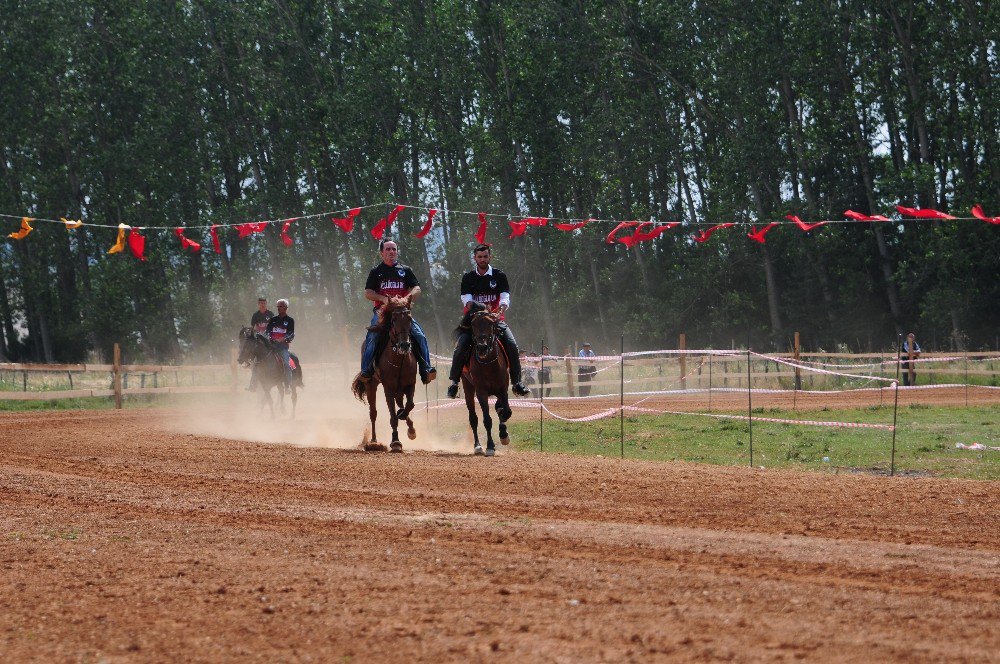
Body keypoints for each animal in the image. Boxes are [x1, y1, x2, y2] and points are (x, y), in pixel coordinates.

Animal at [350, 300, 416, 452]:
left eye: (409, 319)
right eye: (394, 319)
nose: (404, 345)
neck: (399, 360)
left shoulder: (410, 384)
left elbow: (410, 405)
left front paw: (410, 429)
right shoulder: (388, 388)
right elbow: (393, 417)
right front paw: (396, 442)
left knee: (401, 404)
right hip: (371, 385)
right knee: (373, 413)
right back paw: (374, 442)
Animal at [458, 302, 512, 454]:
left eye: (491, 323)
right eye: (473, 323)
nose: (482, 347)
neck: (489, 364)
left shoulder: (503, 388)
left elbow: (505, 411)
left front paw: (504, 435)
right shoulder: (481, 391)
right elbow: (487, 419)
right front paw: (490, 446)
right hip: (468, 388)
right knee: (473, 419)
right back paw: (477, 446)